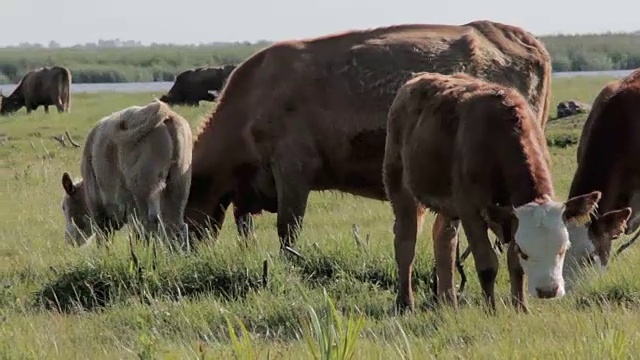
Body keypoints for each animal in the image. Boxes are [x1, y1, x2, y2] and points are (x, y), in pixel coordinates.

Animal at [60, 99, 192, 250]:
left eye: (64, 207)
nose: (68, 241)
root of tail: (167, 114)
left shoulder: (100, 212)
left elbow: (103, 239)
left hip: (143, 190)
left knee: (149, 226)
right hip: (178, 185)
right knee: (176, 227)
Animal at [382, 72, 604, 312]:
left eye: (563, 248)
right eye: (526, 251)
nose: (548, 291)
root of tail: (416, 80)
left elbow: (515, 265)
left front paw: (521, 307)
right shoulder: (470, 209)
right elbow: (487, 264)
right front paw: (491, 310)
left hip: (449, 206)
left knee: (444, 240)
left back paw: (448, 301)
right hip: (399, 185)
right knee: (406, 242)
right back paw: (405, 302)